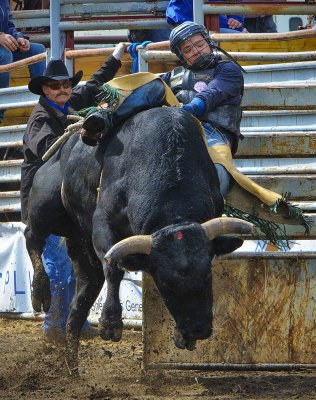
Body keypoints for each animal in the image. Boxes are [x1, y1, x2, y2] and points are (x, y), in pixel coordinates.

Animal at [24, 105, 253, 368]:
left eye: (207, 275)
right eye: (165, 283)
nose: (198, 330)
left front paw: (180, 335)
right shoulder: (103, 221)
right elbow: (114, 268)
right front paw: (110, 323)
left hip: (81, 247)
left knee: (79, 304)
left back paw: (73, 367)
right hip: (44, 207)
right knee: (32, 237)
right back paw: (40, 291)